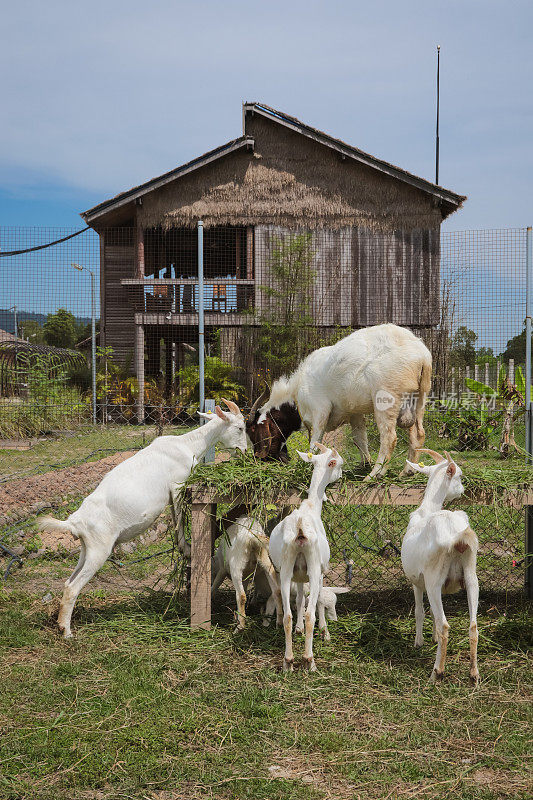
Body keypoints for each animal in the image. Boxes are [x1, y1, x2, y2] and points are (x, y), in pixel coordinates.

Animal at [39, 400, 247, 636]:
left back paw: (60, 624)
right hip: (99, 550)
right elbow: (179, 521)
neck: (187, 445)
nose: (245, 451)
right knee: (73, 588)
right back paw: (67, 633)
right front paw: (187, 549)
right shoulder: (176, 487)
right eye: (240, 428)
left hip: (87, 549)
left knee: (68, 583)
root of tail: (74, 522)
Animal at [254, 322, 432, 478]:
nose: (258, 457)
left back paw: (374, 475)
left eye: (254, 428)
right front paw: (364, 464)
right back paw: (407, 471)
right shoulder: (354, 415)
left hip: (386, 398)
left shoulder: (320, 410)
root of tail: (421, 354)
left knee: (389, 438)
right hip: (417, 399)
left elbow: (316, 440)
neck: (298, 390)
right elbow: (360, 438)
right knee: (418, 434)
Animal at [268, 440, 342, 672]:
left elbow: (300, 598)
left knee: (287, 615)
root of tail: (300, 528)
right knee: (311, 613)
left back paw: (288, 662)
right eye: (338, 463)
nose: (341, 475)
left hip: (285, 567)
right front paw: (325, 632)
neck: (310, 508)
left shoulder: (299, 574)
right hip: (313, 562)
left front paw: (299, 629)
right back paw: (309, 660)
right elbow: (318, 602)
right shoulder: (320, 571)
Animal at [400, 446, 478, 684]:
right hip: (471, 575)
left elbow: (420, 611)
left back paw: (437, 672)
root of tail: (457, 536)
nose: (462, 490)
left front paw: (419, 642)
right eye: (460, 476)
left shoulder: (417, 581)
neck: (425, 511)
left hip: (433, 580)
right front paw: (431, 638)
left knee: (445, 625)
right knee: (473, 625)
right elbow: (433, 614)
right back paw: (474, 674)